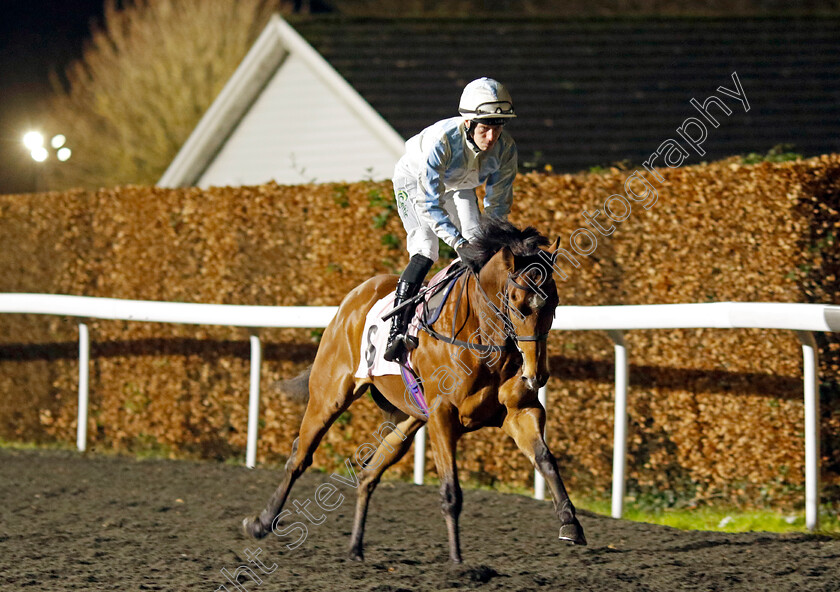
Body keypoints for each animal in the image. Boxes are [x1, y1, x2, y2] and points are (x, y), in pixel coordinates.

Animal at [241, 220, 584, 560]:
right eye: (516, 302)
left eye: (554, 303)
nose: (537, 374)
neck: (481, 338)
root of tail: (352, 298)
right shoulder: (443, 416)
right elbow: (451, 491)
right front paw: (458, 562)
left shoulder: (519, 410)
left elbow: (545, 458)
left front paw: (570, 523)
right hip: (330, 396)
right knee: (300, 455)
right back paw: (261, 522)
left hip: (409, 418)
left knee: (369, 472)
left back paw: (355, 548)